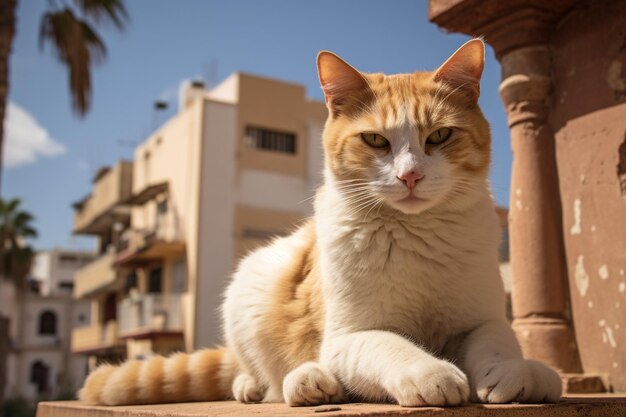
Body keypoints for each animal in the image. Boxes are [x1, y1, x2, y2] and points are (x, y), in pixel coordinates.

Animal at [78, 41, 560, 406]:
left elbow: (496, 342)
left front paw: (512, 371)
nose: (410, 175)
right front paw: (429, 372)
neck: (418, 235)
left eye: (439, 136)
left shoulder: (481, 321)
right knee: (261, 376)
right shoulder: (349, 337)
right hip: (248, 289)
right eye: (375, 140)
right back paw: (295, 381)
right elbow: (389, 344)